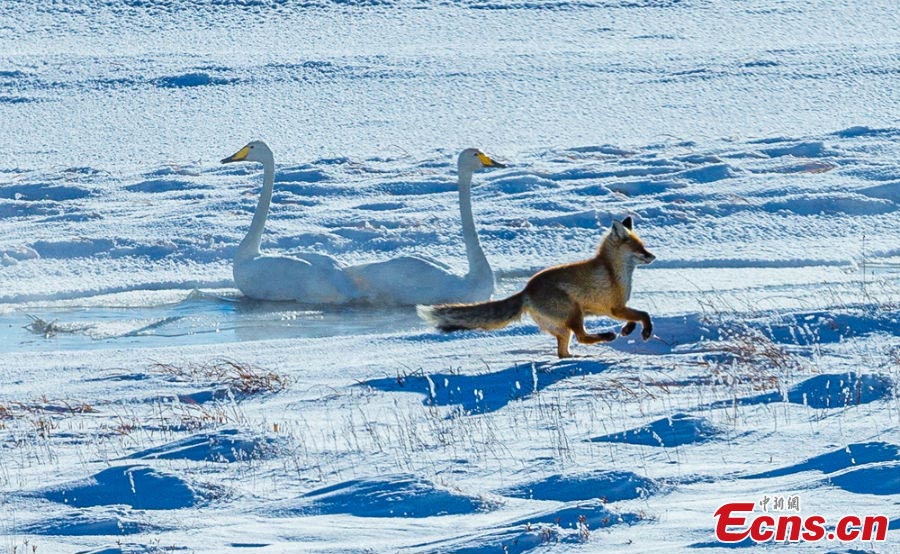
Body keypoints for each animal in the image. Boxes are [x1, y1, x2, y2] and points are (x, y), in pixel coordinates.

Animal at [418, 216, 656, 358]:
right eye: (640, 248)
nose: (653, 256)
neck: (612, 270)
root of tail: (526, 290)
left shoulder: (613, 309)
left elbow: (634, 317)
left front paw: (628, 329)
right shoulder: (615, 307)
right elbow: (644, 314)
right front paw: (645, 332)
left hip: (563, 328)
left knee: (563, 351)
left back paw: (574, 357)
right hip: (574, 314)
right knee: (582, 337)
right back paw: (606, 337)